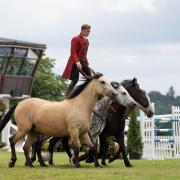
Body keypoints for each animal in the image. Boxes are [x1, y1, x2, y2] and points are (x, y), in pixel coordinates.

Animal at [0, 73, 135, 167]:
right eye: (102, 82)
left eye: (110, 83)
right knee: (13, 140)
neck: (81, 106)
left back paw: (32, 164)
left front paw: (97, 165)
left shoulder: (84, 133)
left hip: (33, 132)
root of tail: (20, 103)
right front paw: (77, 163)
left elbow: (93, 148)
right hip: (24, 129)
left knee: (27, 147)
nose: (113, 94)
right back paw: (13, 162)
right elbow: (75, 148)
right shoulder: (74, 132)